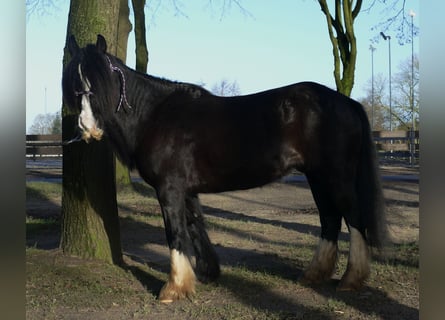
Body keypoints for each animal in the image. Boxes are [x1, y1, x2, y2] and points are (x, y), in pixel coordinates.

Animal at [62, 34, 386, 302]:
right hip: (317, 178)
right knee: (330, 219)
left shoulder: (169, 189)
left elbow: (175, 233)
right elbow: (195, 226)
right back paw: (313, 275)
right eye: (75, 84)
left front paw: (173, 289)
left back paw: (350, 280)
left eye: (100, 82)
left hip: (336, 177)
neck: (155, 115)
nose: (87, 128)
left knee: (353, 218)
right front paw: (206, 273)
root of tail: (346, 102)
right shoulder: (186, 190)